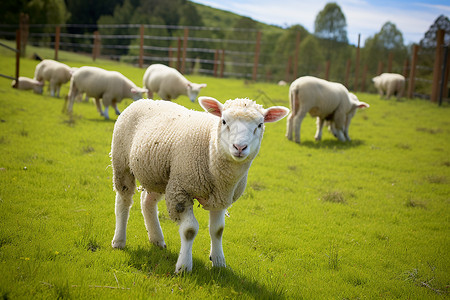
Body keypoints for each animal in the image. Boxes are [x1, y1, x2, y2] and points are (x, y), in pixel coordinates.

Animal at [110, 97, 290, 274]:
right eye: (224, 121)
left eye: (260, 125)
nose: (239, 147)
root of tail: (144, 99)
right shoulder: (181, 190)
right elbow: (189, 230)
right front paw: (184, 267)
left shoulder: (220, 198)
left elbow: (217, 230)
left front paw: (219, 262)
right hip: (122, 163)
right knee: (123, 201)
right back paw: (119, 241)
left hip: (159, 175)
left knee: (147, 202)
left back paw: (157, 240)